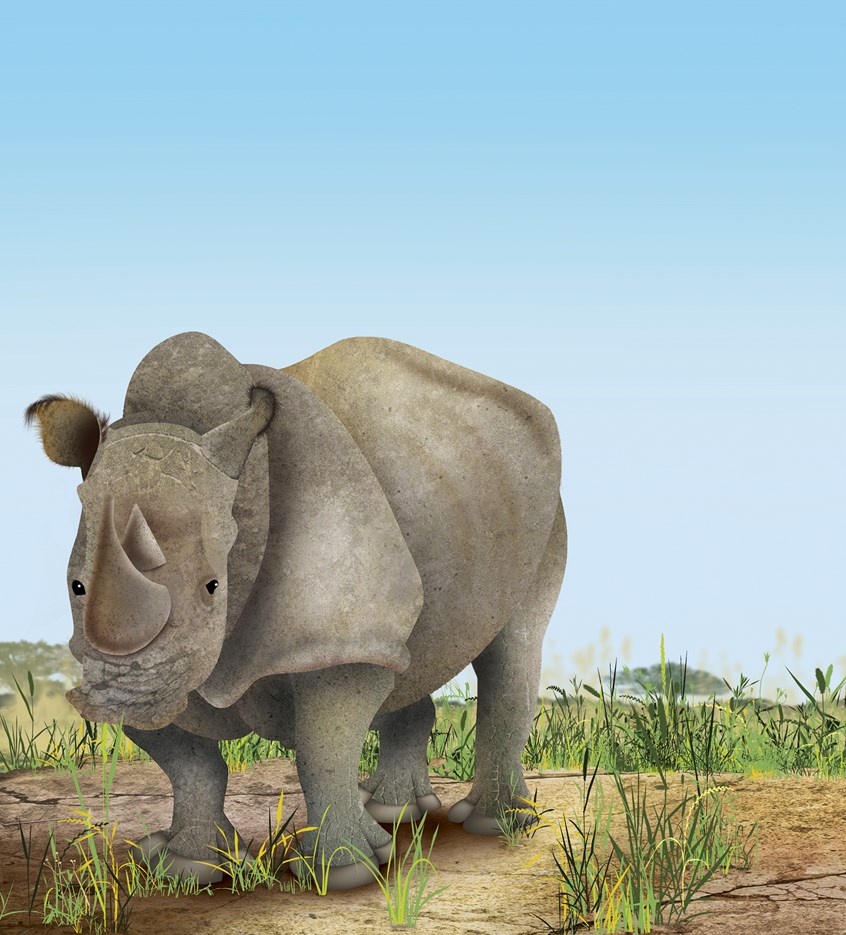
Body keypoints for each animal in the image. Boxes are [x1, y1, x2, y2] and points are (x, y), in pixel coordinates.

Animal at [26, 332, 567, 890]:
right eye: (76, 586)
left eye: (213, 587)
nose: (111, 700)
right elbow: (191, 765)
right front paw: (188, 867)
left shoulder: (334, 627)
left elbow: (319, 749)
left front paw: (342, 873)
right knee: (408, 659)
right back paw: (392, 813)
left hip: (547, 514)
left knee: (512, 647)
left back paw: (493, 824)